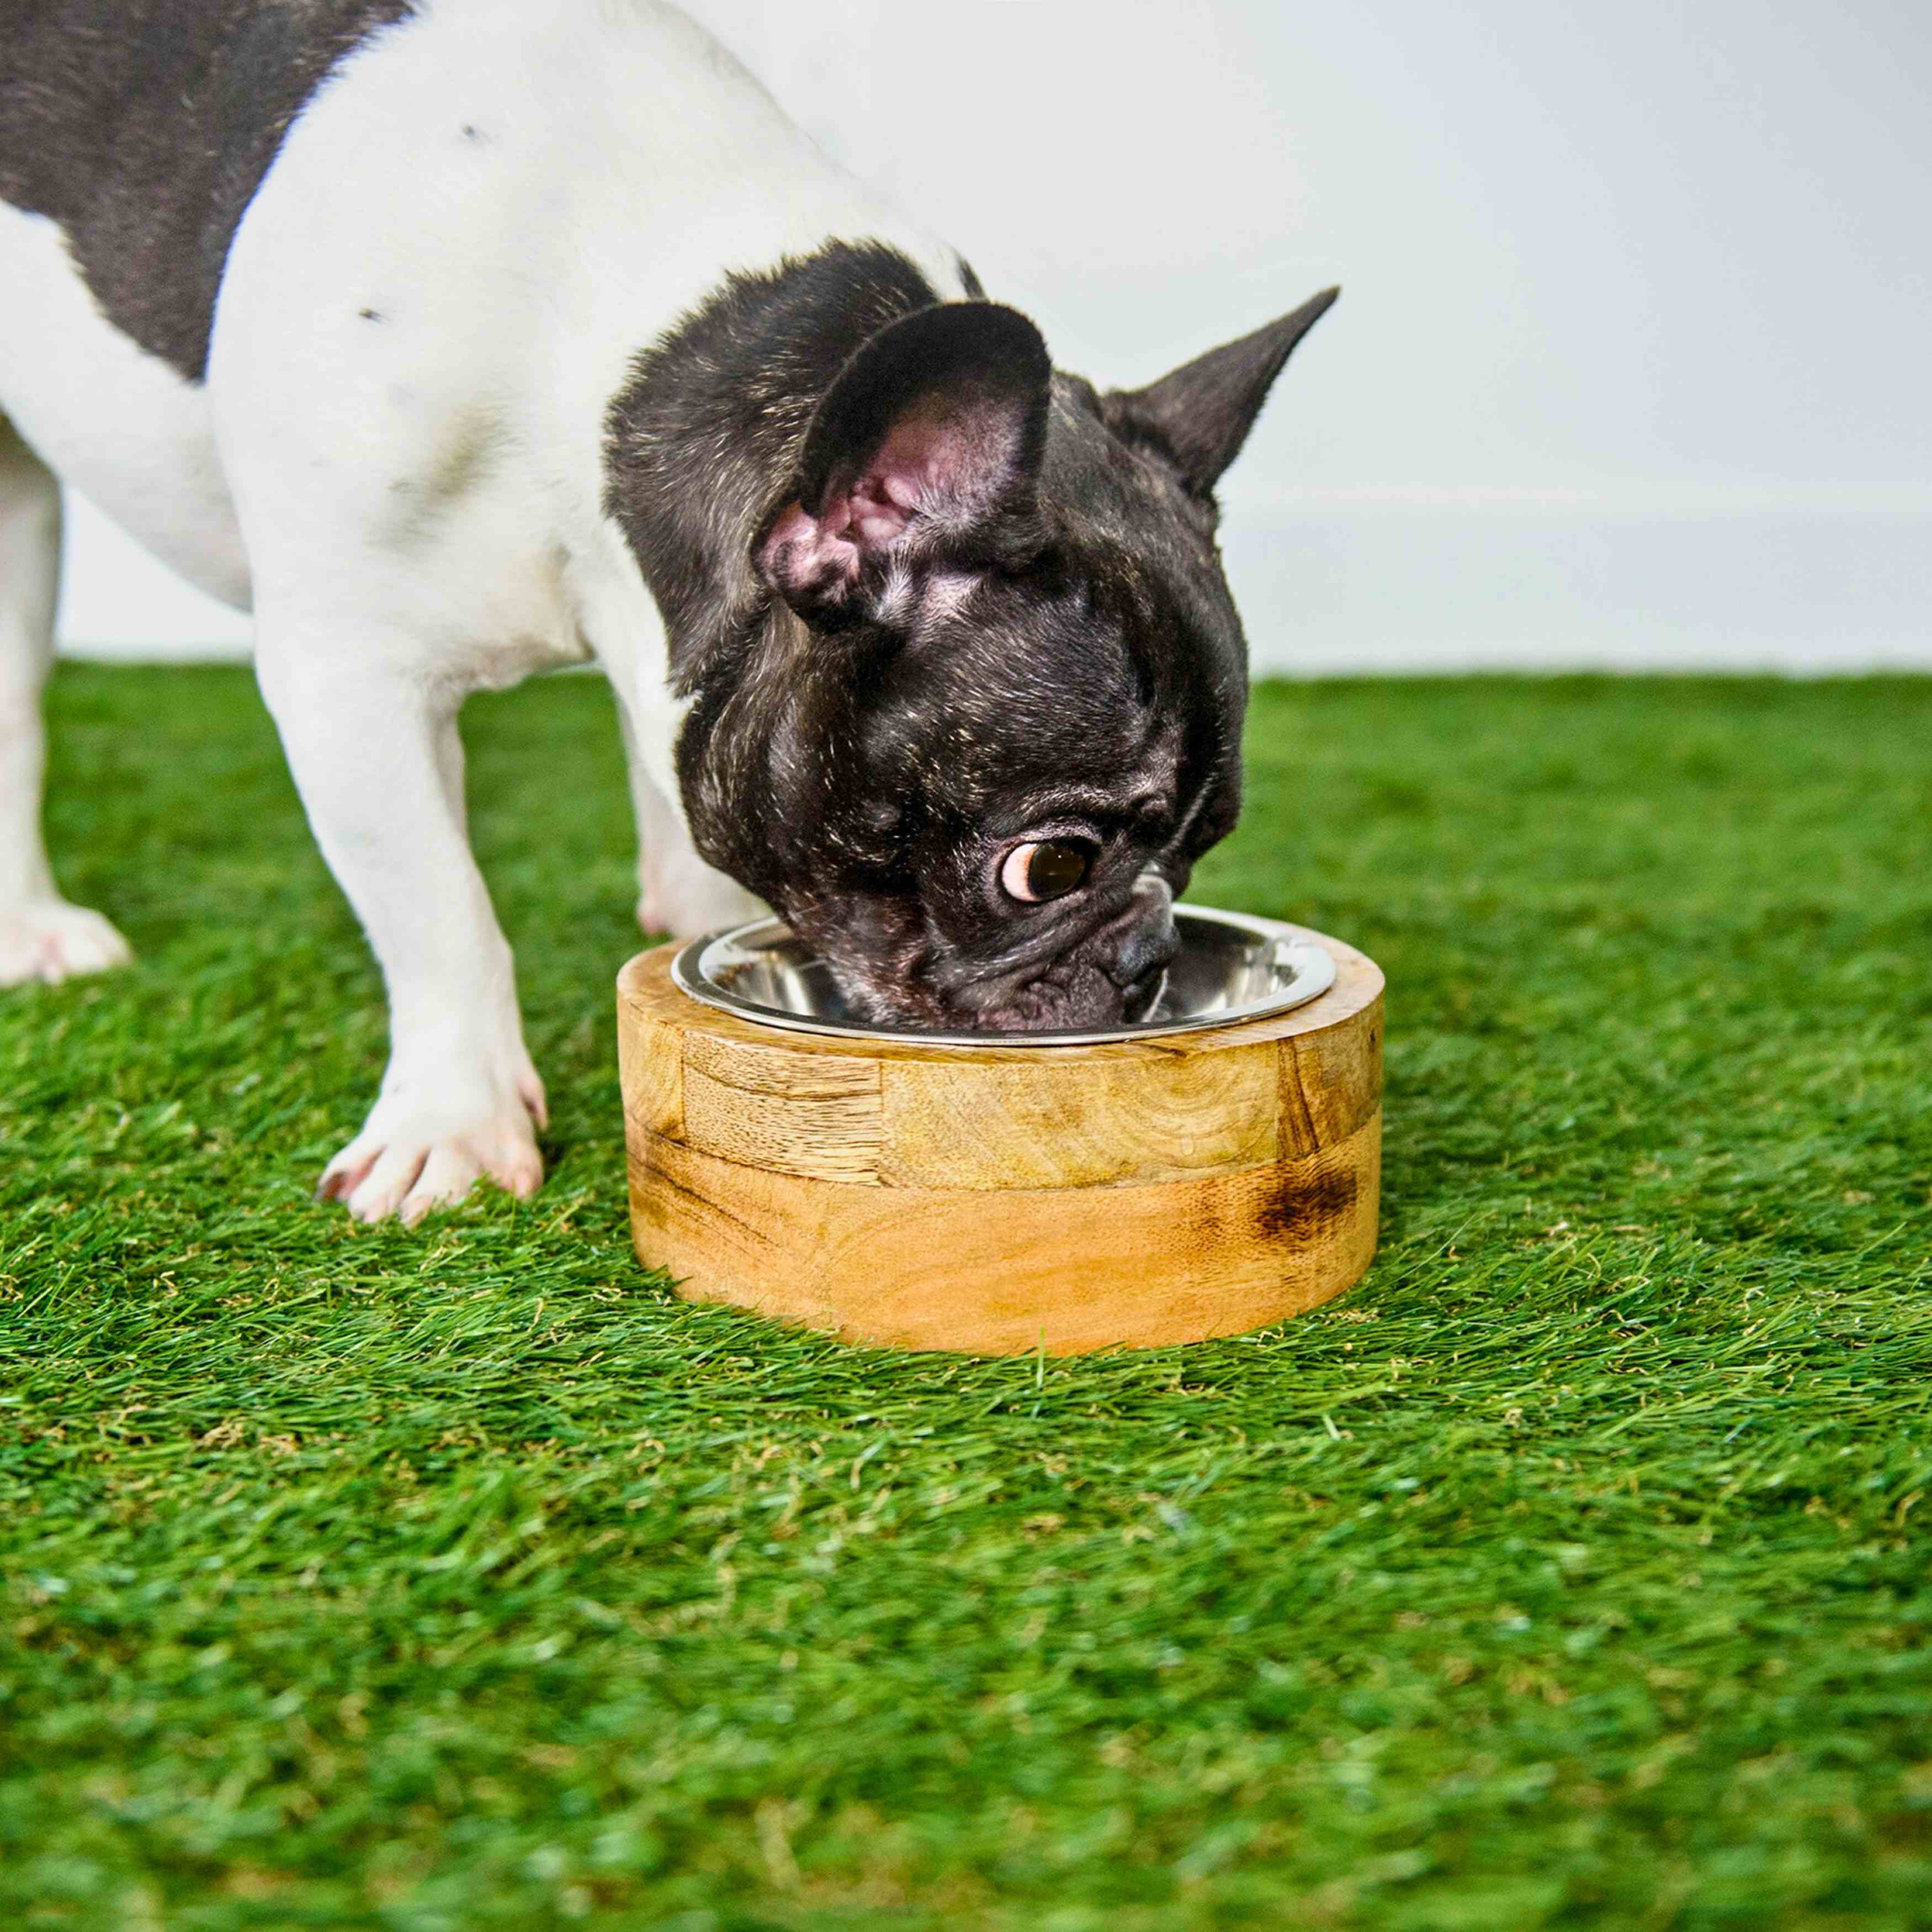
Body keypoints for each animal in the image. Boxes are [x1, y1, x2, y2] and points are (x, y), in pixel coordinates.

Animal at [0, 0, 1337, 1221]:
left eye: (1199, 853)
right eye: (1049, 867)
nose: (1148, 961)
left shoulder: (662, 649)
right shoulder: (351, 681)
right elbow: (440, 912)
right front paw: (455, 1125)